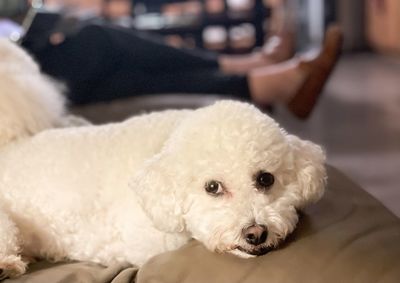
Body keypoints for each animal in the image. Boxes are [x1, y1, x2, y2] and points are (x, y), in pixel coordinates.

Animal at [0, 39, 324, 280]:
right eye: (213, 187)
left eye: (266, 179)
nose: (255, 233)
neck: (165, 145)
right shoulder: (144, 243)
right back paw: (8, 265)